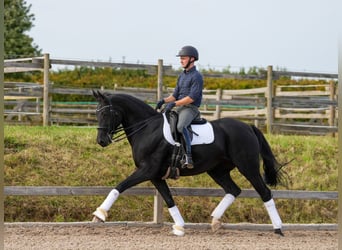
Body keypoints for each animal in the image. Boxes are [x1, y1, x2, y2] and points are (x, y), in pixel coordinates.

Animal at [91, 91, 286, 236]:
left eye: (106, 113)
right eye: (97, 113)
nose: (101, 140)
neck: (147, 129)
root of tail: (248, 127)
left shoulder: (147, 170)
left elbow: (120, 186)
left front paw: (99, 214)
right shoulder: (156, 175)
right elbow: (168, 199)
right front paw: (179, 226)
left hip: (248, 167)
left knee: (264, 192)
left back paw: (278, 229)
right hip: (217, 171)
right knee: (233, 190)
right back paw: (215, 221)